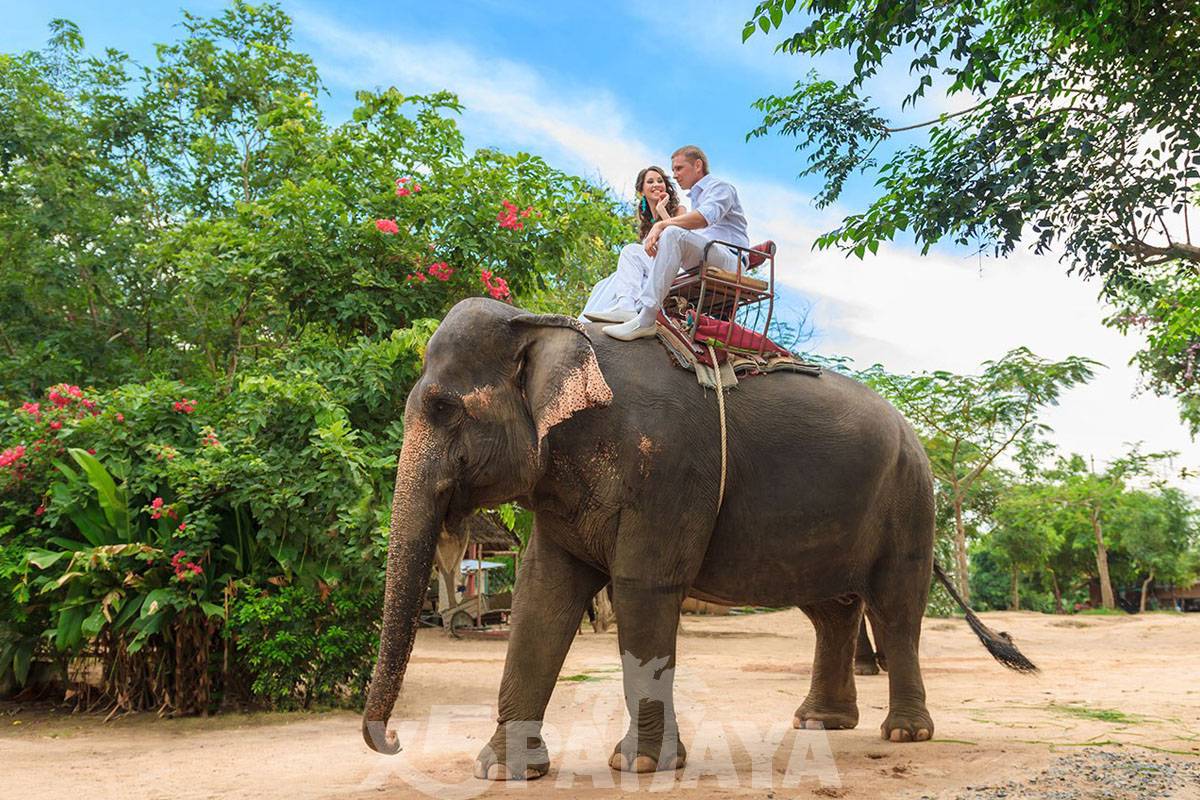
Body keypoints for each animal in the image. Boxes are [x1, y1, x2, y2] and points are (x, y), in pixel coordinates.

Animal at [360, 297, 1036, 777]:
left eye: (445, 409)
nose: (391, 740)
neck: (553, 332)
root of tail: (915, 435)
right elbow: (540, 599)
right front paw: (502, 771)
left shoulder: (667, 470)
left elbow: (643, 589)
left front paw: (638, 765)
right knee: (832, 608)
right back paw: (820, 724)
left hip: (911, 499)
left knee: (895, 607)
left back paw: (904, 733)